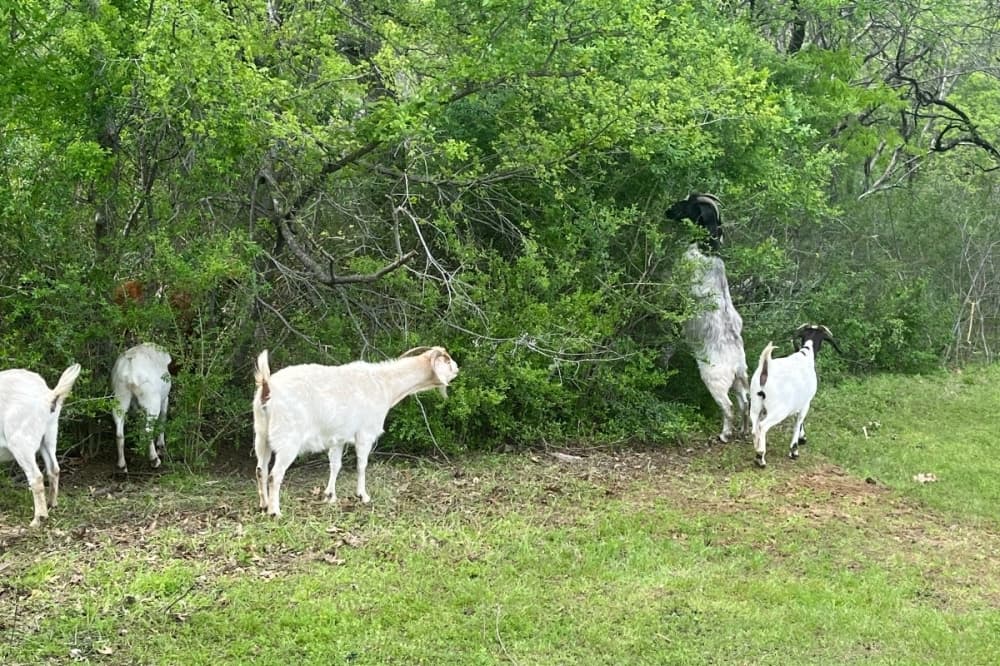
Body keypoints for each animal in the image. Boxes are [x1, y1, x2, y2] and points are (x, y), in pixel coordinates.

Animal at [0, 363, 81, 527]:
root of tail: (48, 395)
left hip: (21, 442)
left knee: (36, 477)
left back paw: (38, 519)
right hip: (49, 435)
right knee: (54, 469)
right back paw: (52, 505)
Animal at [111, 343, 172, 473]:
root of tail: (131, 369)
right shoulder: (165, 399)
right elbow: (163, 418)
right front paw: (161, 446)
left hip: (120, 397)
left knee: (119, 431)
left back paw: (122, 465)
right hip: (152, 401)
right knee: (148, 429)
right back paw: (154, 460)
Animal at [253, 346, 459, 517]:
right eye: (447, 360)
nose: (457, 369)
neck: (385, 384)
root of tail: (268, 386)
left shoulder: (338, 438)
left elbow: (335, 465)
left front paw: (330, 496)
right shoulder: (364, 434)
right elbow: (361, 465)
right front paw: (363, 496)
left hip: (261, 435)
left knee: (260, 469)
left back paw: (264, 505)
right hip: (288, 440)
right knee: (274, 475)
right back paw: (275, 512)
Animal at [666, 193, 750, 442]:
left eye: (688, 205)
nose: (668, 211)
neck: (707, 250)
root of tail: (737, 363)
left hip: (715, 381)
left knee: (729, 407)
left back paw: (724, 434)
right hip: (739, 382)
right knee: (745, 404)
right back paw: (743, 431)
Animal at [749, 324, 843, 467]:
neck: (805, 355)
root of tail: (765, 368)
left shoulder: (799, 401)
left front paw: (802, 438)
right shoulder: (806, 402)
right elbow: (799, 421)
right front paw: (794, 450)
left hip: (755, 403)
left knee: (755, 427)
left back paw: (757, 450)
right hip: (779, 409)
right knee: (763, 425)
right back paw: (761, 457)